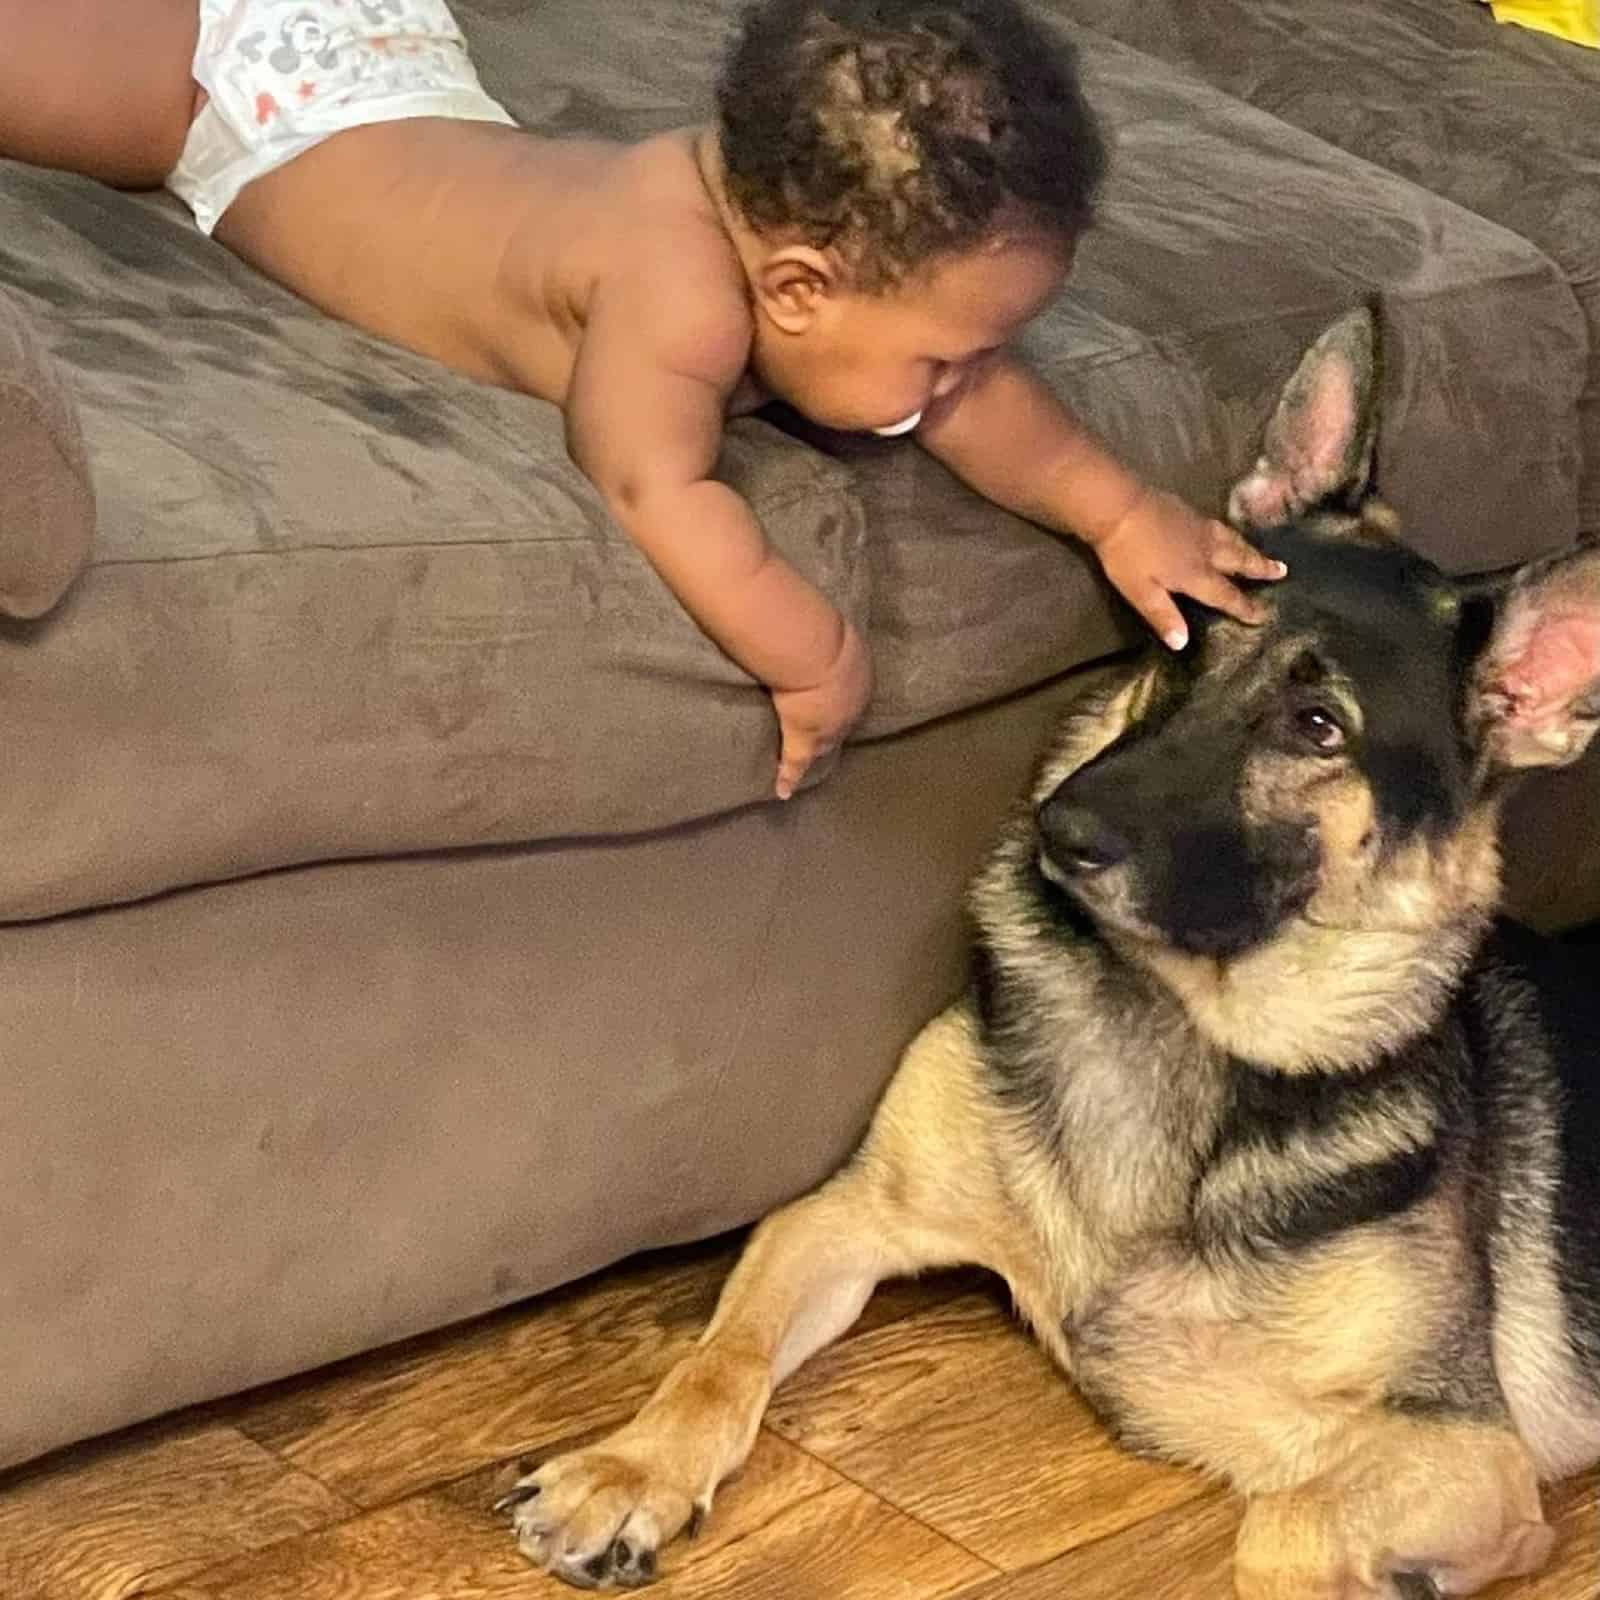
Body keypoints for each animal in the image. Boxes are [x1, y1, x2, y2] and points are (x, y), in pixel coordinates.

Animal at [505, 305, 1600, 1593]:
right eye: (1182, 641)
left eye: (1316, 726)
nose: (1058, 831)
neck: (1175, 1022)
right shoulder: (841, 1215)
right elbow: (718, 1355)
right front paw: (630, 1468)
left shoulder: (1461, 1444)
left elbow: (1282, 1526)